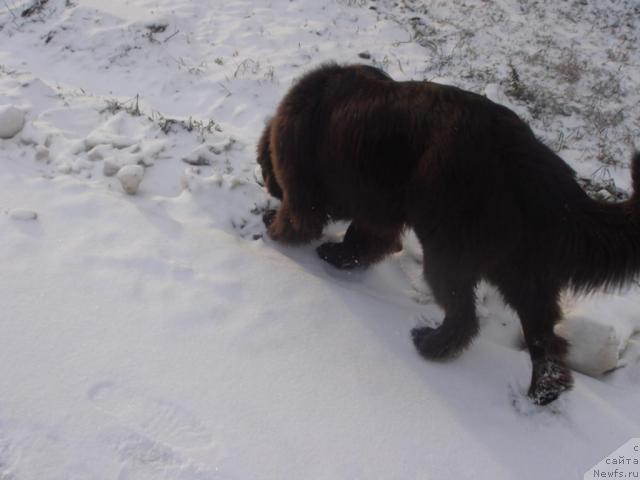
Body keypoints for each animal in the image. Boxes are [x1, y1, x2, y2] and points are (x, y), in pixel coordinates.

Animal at [256, 62, 640, 404]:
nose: (270, 189)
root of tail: (528, 158)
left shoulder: (306, 186)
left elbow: (303, 219)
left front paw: (274, 230)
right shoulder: (378, 207)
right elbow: (364, 239)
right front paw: (338, 256)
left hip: (449, 249)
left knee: (464, 317)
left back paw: (431, 345)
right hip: (519, 268)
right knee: (544, 336)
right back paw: (543, 392)